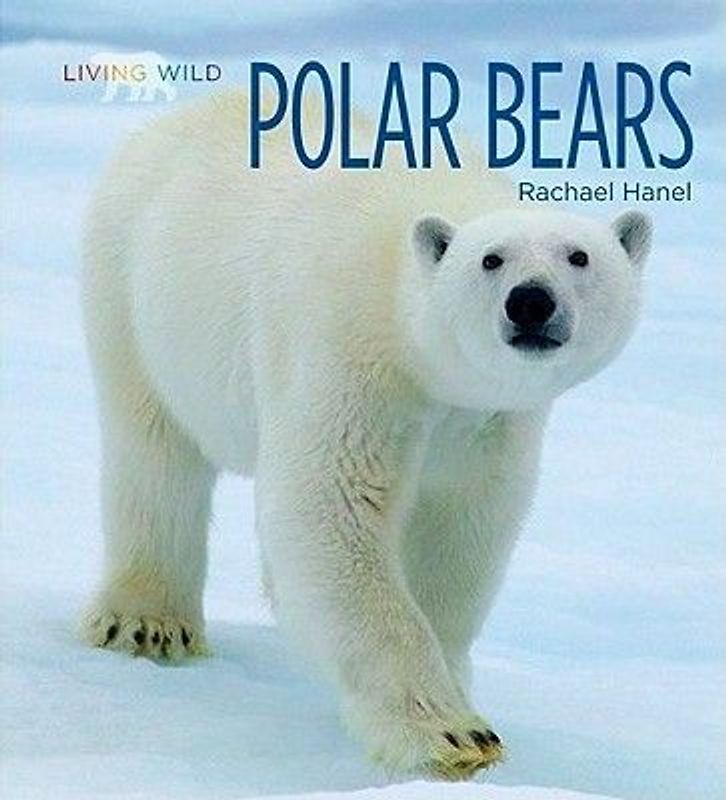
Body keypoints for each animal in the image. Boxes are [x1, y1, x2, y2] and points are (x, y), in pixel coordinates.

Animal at [79, 91, 652, 780]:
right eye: (490, 259)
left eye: (578, 255)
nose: (531, 302)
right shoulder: (348, 351)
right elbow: (331, 507)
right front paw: (450, 735)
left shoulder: (485, 419)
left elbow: (462, 528)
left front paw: (454, 682)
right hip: (134, 291)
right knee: (156, 453)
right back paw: (148, 622)